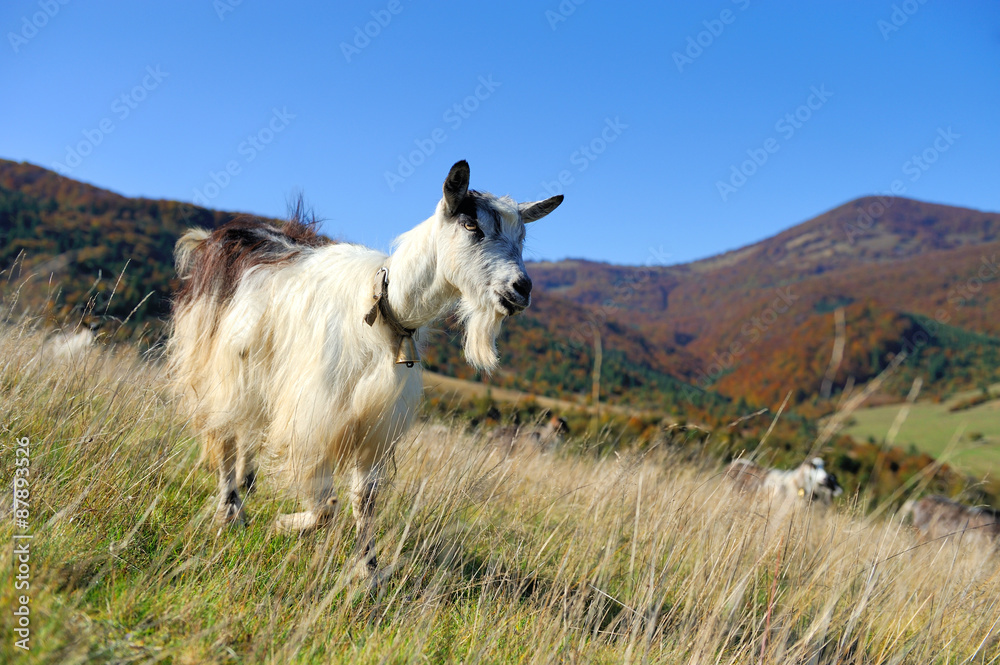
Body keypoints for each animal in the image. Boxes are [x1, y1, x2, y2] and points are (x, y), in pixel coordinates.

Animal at [170, 162, 564, 576]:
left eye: (522, 236)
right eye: (472, 225)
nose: (521, 288)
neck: (383, 308)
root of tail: (215, 237)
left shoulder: (375, 424)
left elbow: (365, 498)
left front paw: (368, 569)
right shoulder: (315, 415)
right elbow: (326, 507)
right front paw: (285, 524)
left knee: (245, 434)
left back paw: (247, 487)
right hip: (217, 364)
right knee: (225, 435)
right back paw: (230, 512)